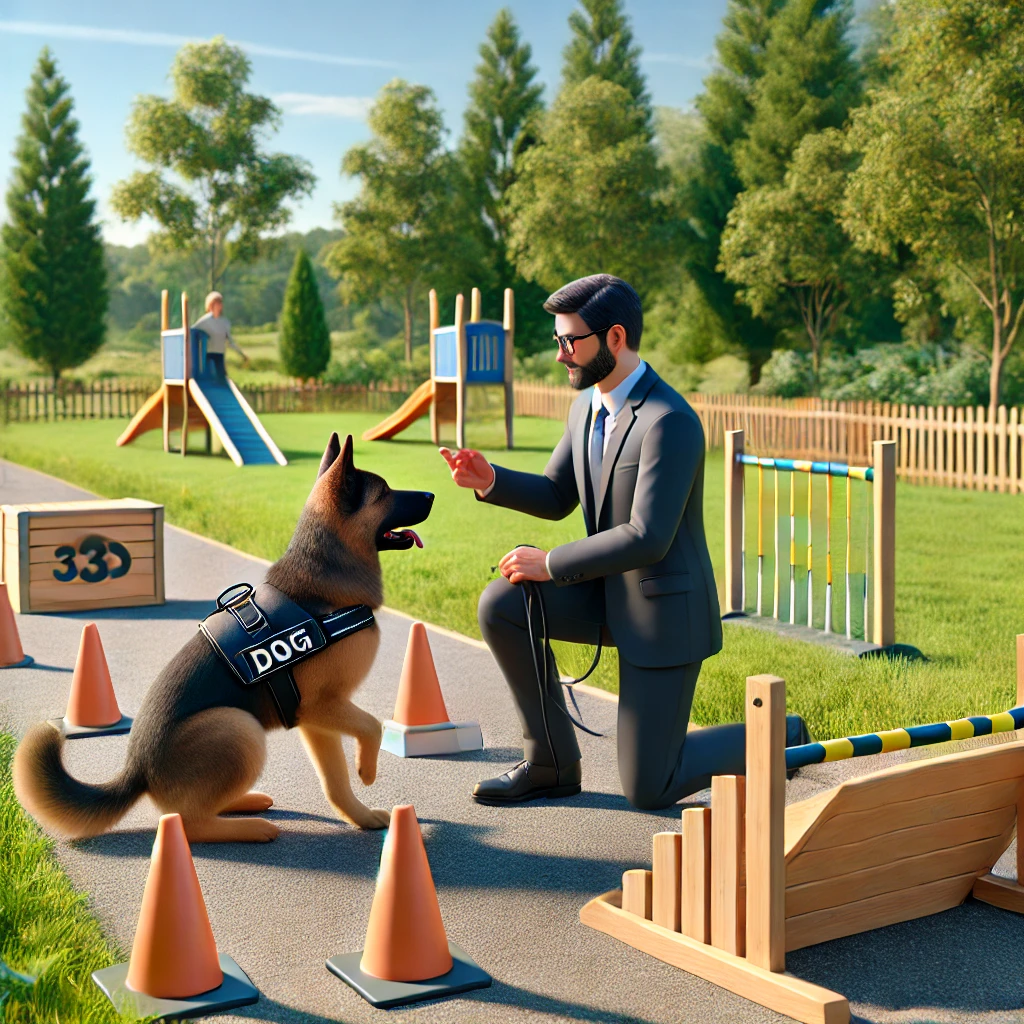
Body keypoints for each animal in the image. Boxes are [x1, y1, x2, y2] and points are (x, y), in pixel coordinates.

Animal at [14, 432, 434, 839]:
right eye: (386, 491)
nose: (432, 494)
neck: (325, 580)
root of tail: (138, 771)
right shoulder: (324, 705)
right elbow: (373, 725)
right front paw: (367, 769)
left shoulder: (317, 719)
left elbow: (336, 783)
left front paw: (359, 815)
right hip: (239, 728)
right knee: (186, 821)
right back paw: (248, 829)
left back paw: (242, 803)